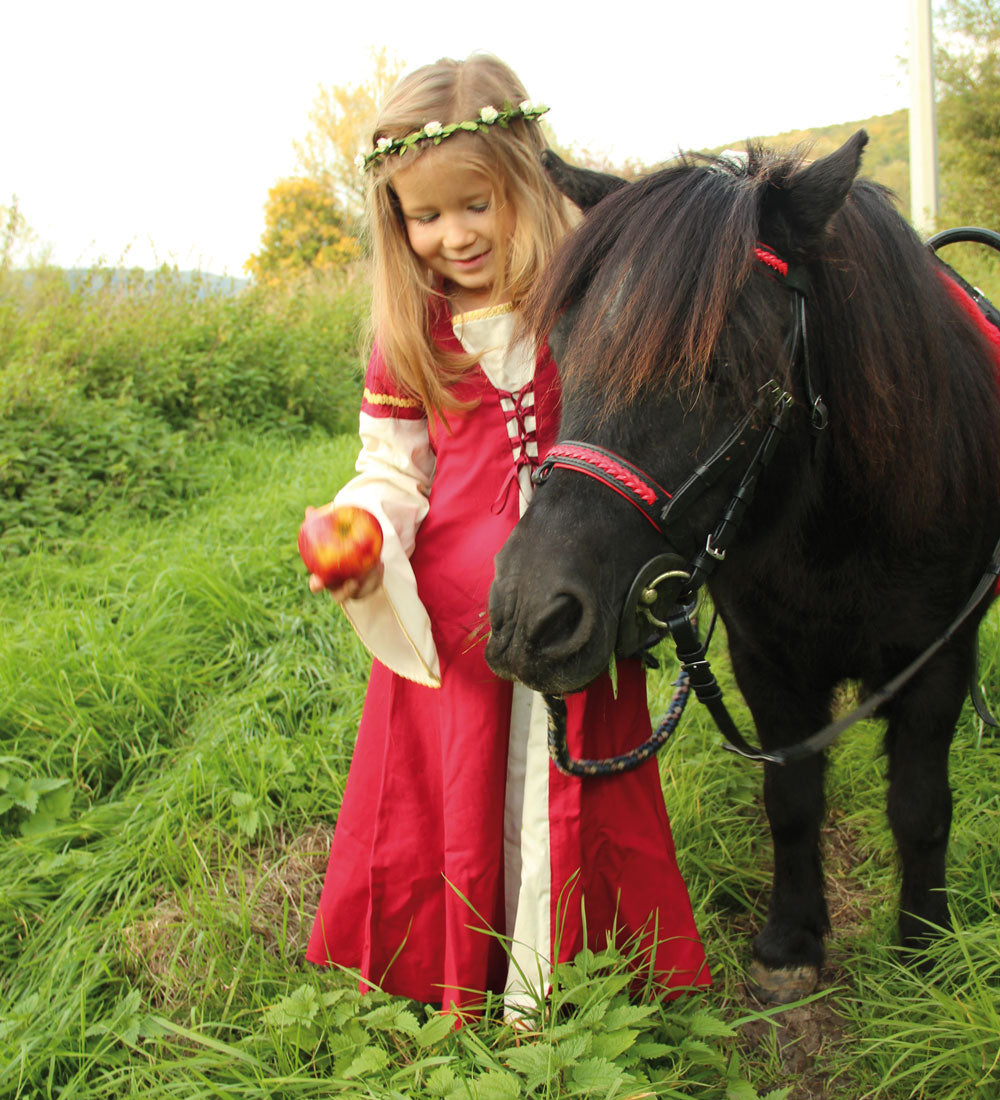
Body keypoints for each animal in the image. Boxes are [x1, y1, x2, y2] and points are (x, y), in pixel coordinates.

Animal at [484, 133, 998, 1003]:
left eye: (723, 367)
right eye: (564, 350)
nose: (529, 615)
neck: (838, 532)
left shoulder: (938, 660)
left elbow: (920, 808)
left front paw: (925, 951)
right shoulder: (766, 660)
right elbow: (789, 799)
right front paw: (792, 940)